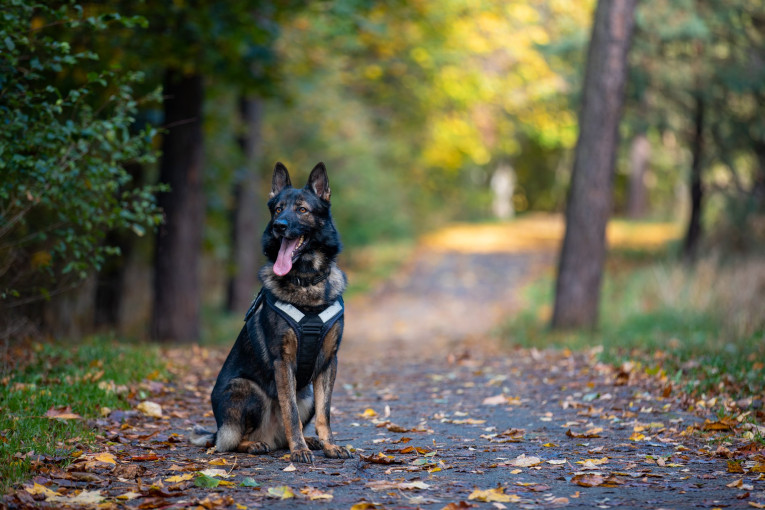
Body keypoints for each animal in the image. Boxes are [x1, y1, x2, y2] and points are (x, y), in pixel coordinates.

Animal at [194, 162, 356, 462]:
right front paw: (299, 450)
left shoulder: (329, 362)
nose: (279, 226)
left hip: (306, 394)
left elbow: (325, 413)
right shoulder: (284, 362)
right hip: (246, 389)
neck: (306, 281)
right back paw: (258, 444)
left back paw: (309, 441)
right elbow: (289, 411)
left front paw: (329, 445)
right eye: (278, 209)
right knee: (230, 441)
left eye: (302, 209)